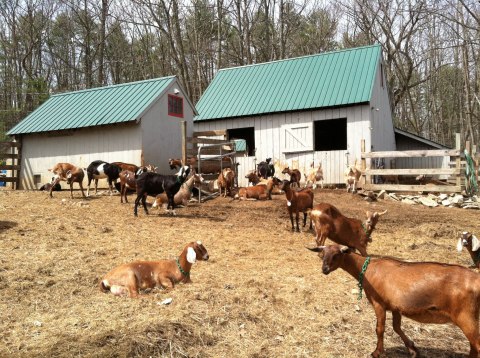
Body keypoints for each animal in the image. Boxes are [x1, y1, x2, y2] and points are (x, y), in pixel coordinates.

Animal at [310, 245, 480, 358]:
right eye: (322, 254)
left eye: (336, 255)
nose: (324, 269)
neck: (368, 270)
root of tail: (476, 279)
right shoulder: (396, 307)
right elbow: (396, 327)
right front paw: (412, 349)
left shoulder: (379, 303)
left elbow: (380, 328)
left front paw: (377, 352)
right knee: (473, 347)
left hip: (466, 316)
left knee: (476, 343)